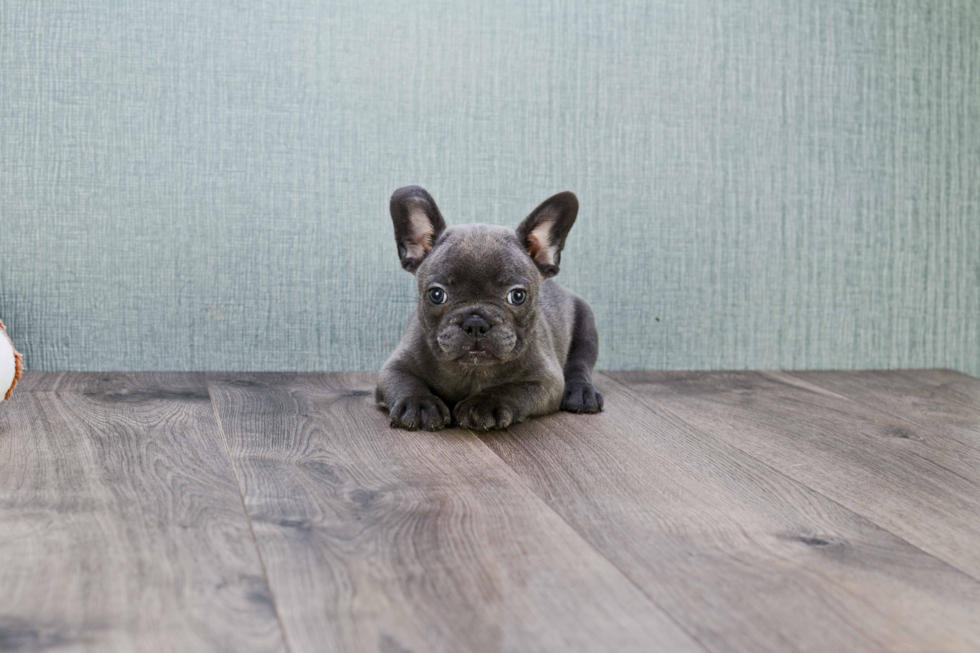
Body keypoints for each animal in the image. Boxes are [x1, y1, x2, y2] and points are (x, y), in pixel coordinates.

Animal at [378, 186, 600, 430]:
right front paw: (419, 403)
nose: (475, 323)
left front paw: (483, 404)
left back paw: (581, 392)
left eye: (517, 296)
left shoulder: (546, 381)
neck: (472, 370)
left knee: (580, 365)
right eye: (436, 295)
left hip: (586, 326)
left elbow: (511, 389)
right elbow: (404, 381)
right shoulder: (394, 366)